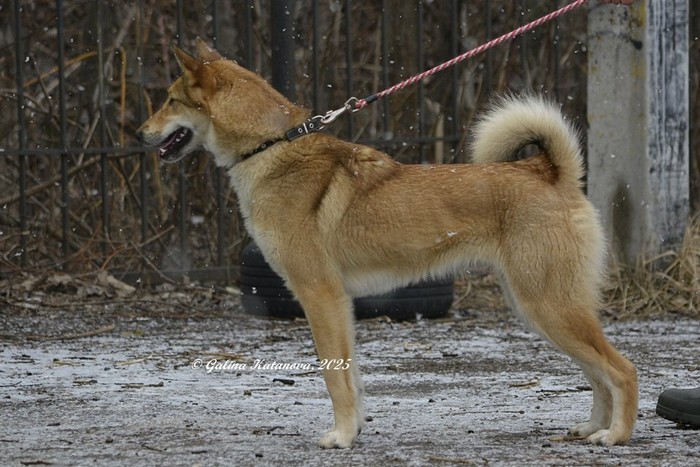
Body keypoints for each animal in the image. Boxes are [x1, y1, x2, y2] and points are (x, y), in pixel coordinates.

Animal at [136, 38, 638, 449]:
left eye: (170, 100)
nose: (138, 134)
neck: (272, 148)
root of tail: (550, 172)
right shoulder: (340, 305)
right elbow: (352, 378)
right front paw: (354, 429)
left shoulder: (320, 296)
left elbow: (334, 378)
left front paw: (340, 438)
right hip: (540, 309)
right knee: (597, 374)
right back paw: (593, 428)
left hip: (549, 307)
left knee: (622, 370)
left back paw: (616, 436)